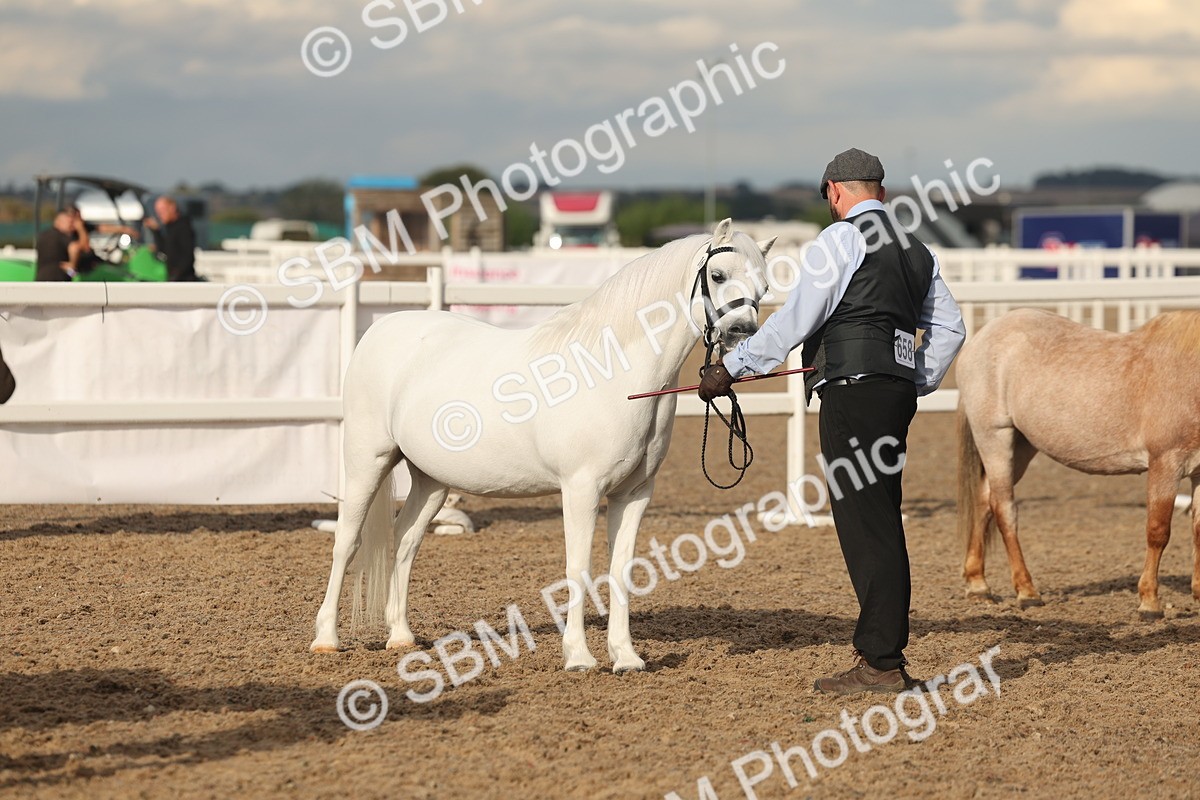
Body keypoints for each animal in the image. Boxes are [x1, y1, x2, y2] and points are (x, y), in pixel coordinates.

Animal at [311, 219, 775, 671]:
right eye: (717, 275)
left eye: (765, 286)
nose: (742, 332)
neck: (613, 375)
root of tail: (381, 329)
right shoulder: (581, 488)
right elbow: (579, 567)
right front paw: (579, 657)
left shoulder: (634, 494)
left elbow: (622, 569)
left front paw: (625, 656)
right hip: (367, 462)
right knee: (347, 540)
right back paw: (326, 639)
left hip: (431, 480)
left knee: (405, 540)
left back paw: (401, 636)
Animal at [957, 307, 1200, 617]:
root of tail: (982, 336)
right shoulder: (1165, 464)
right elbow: (1158, 531)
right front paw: (1149, 602)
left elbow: (1197, 530)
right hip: (994, 438)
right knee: (1004, 509)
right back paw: (1026, 591)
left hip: (1020, 447)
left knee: (984, 500)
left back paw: (979, 586)